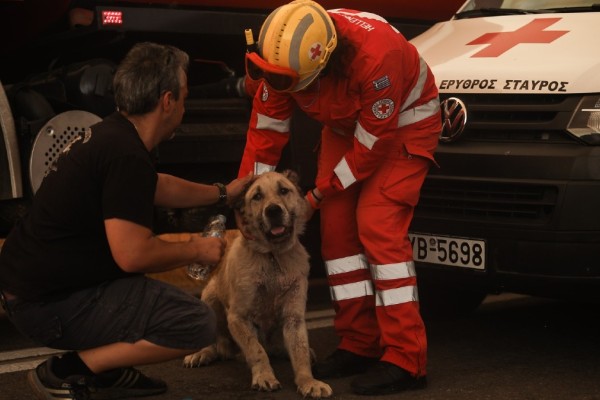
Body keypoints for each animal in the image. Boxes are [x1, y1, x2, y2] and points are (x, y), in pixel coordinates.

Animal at [183, 170, 332, 398]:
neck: (272, 257)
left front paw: (308, 381)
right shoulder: (238, 317)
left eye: (283, 190)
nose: (273, 210)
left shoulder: (294, 318)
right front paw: (264, 376)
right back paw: (203, 353)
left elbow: (300, 353)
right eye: (257, 196)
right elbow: (256, 350)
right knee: (217, 343)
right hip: (209, 298)